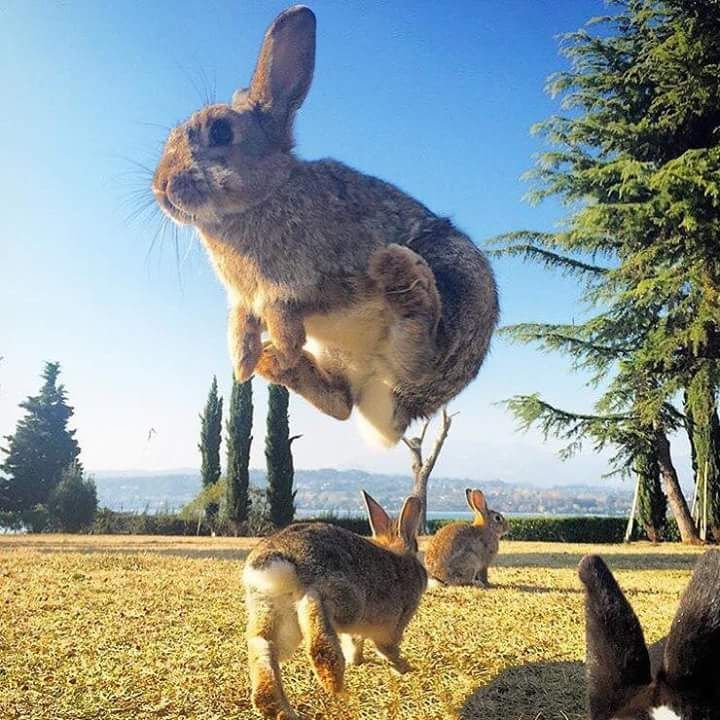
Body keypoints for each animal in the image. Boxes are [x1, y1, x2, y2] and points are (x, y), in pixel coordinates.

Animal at [152, 5, 498, 447]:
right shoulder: (243, 300)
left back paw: (406, 287)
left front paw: (279, 344)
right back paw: (276, 365)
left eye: (221, 131)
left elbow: (285, 306)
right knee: (342, 403)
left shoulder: (332, 277)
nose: (160, 187)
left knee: (419, 359)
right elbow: (242, 323)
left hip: (457, 283)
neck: (265, 194)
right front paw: (244, 361)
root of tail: (393, 416)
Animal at [243, 491, 427, 720]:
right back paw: (338, 689)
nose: (426, 575)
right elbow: (387, 649)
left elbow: (355, 642)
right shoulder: (393, 626)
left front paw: (357, 661)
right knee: (318, 636)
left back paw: (282, 710)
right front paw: (404, 668)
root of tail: (283, 555)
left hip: (270, 610)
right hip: (342, 599)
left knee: (263, 645)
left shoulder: (357, 631)